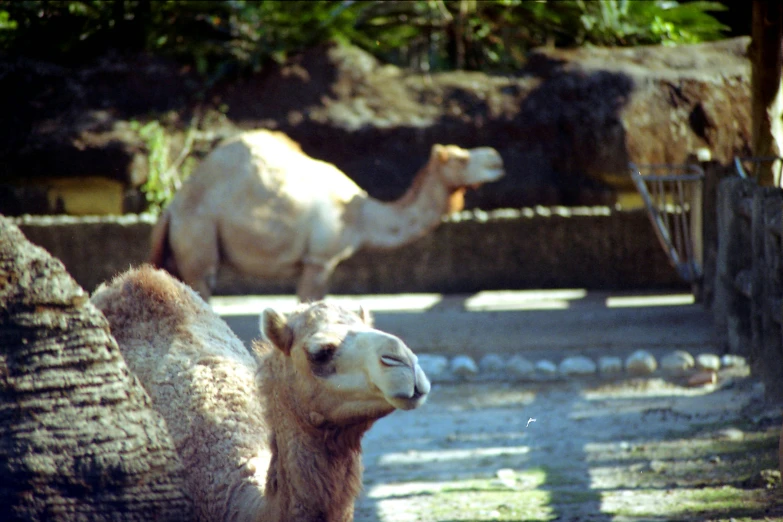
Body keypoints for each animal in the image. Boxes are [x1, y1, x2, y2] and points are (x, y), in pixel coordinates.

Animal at [149, 129, 506, 298]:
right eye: (460, 158)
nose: (497, 159)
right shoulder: (320, 259)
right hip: (198, 235)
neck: (359, 216)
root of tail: (172, 208)